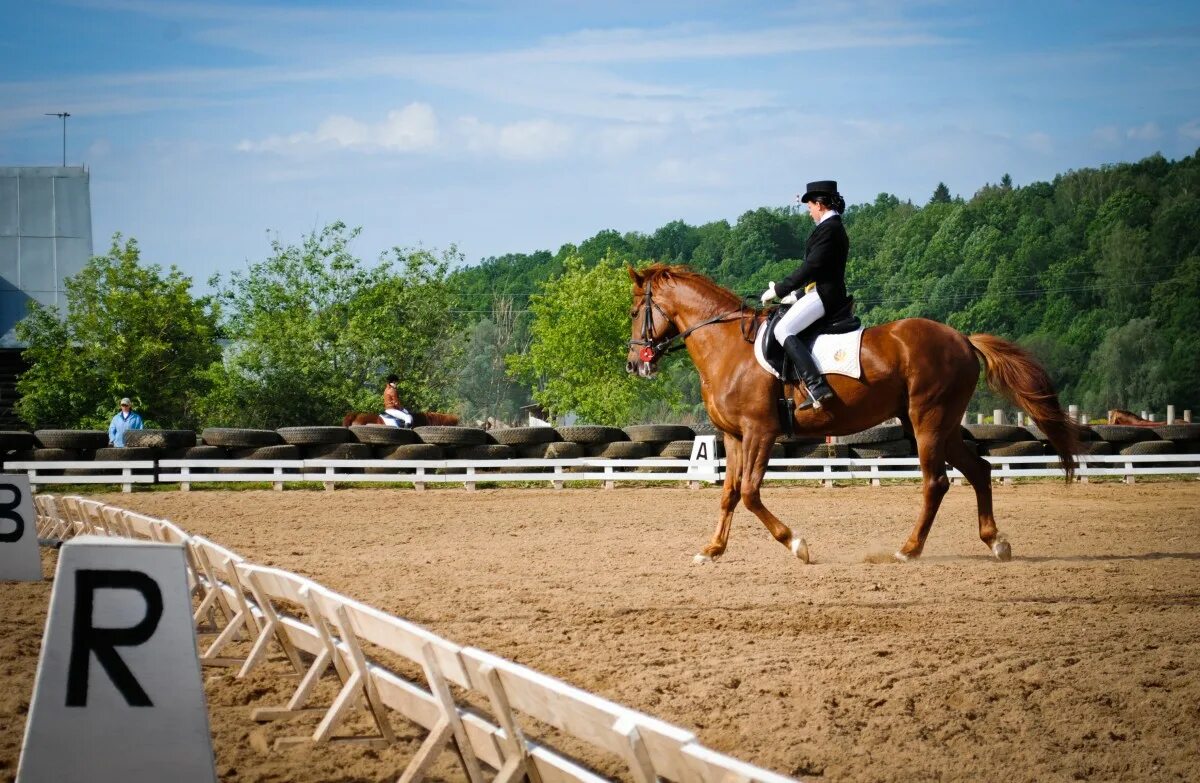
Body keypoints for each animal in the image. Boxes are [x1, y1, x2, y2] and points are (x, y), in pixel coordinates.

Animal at [624, 266, 1084, 566]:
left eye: (632, 313)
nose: (634, 364)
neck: (727, 348)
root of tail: (963, 339)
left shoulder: (760, 432)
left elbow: (751, 493)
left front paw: (797, 545)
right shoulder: (736, 437)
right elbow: (729, 493)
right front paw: (712, 550)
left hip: (928, 420)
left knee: (936, 482)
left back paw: (909, 549)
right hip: (940, 423)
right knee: (979, 470)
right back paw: (995, 542)